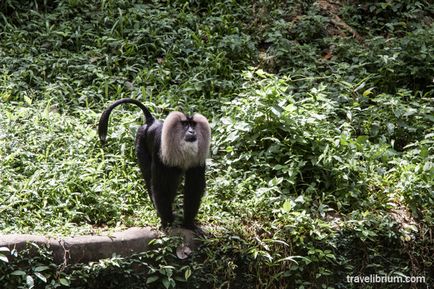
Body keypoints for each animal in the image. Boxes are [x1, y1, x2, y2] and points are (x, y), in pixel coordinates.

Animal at [99, 98, 214, 233]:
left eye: (193, 124)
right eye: (185, 124)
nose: (192, 131)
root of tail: (150, 122)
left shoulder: (198, 159)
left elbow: (193, 188)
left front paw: (189, 224)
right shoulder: (160, 151)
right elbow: (160, 187)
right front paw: (167, 223)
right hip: (140, 142)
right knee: (150, 178)